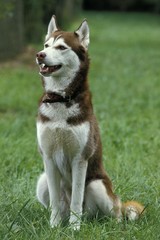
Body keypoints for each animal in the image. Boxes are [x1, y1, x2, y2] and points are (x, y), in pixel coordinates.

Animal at [35, 15, 144, 230]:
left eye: (61, 47)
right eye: (46, 45)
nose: (39, 55)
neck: (61, 100)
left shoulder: (80, 158)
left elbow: (77, 199)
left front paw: (74, 229)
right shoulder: (48, 158)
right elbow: (54, 200)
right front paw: (54, 227)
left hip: (97, 185)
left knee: (115, 213)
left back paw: (107, 223)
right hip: (41, 181)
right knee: (59, 202)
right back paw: (62, 220)